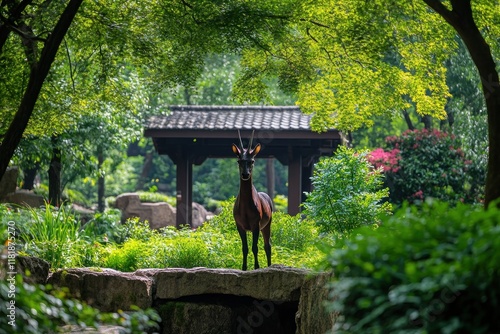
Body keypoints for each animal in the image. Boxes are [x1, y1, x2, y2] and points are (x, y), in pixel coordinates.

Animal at [231, 130, 274, 272]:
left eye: (252, 161)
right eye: (239, 160)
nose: (245, 174)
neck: (245, 207)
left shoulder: (256, 224)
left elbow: (255, 247)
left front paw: (256, 267)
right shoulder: (239, 225)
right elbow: (244, 248)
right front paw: (244, 268)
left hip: (267, 224)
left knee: (267, 245)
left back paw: (269, 266)